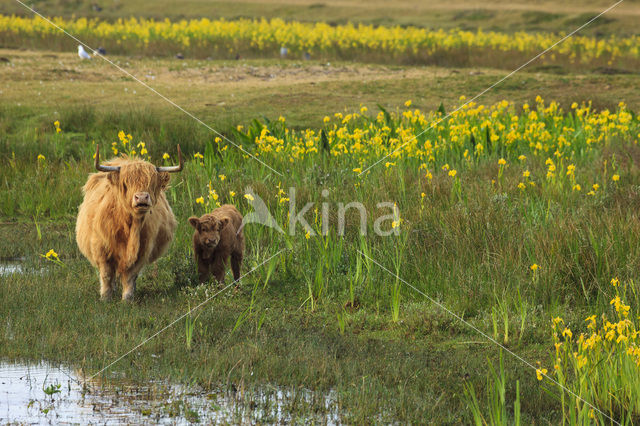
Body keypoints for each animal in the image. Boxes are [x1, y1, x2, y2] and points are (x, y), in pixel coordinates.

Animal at [77, 145, 185, 302]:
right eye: (126, 183)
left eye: (151, 183)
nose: (142, 197)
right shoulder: (100, 247)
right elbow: (106, 274)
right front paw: (105, 297)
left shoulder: (142, 250)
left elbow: (130, 276)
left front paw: (127, 298)